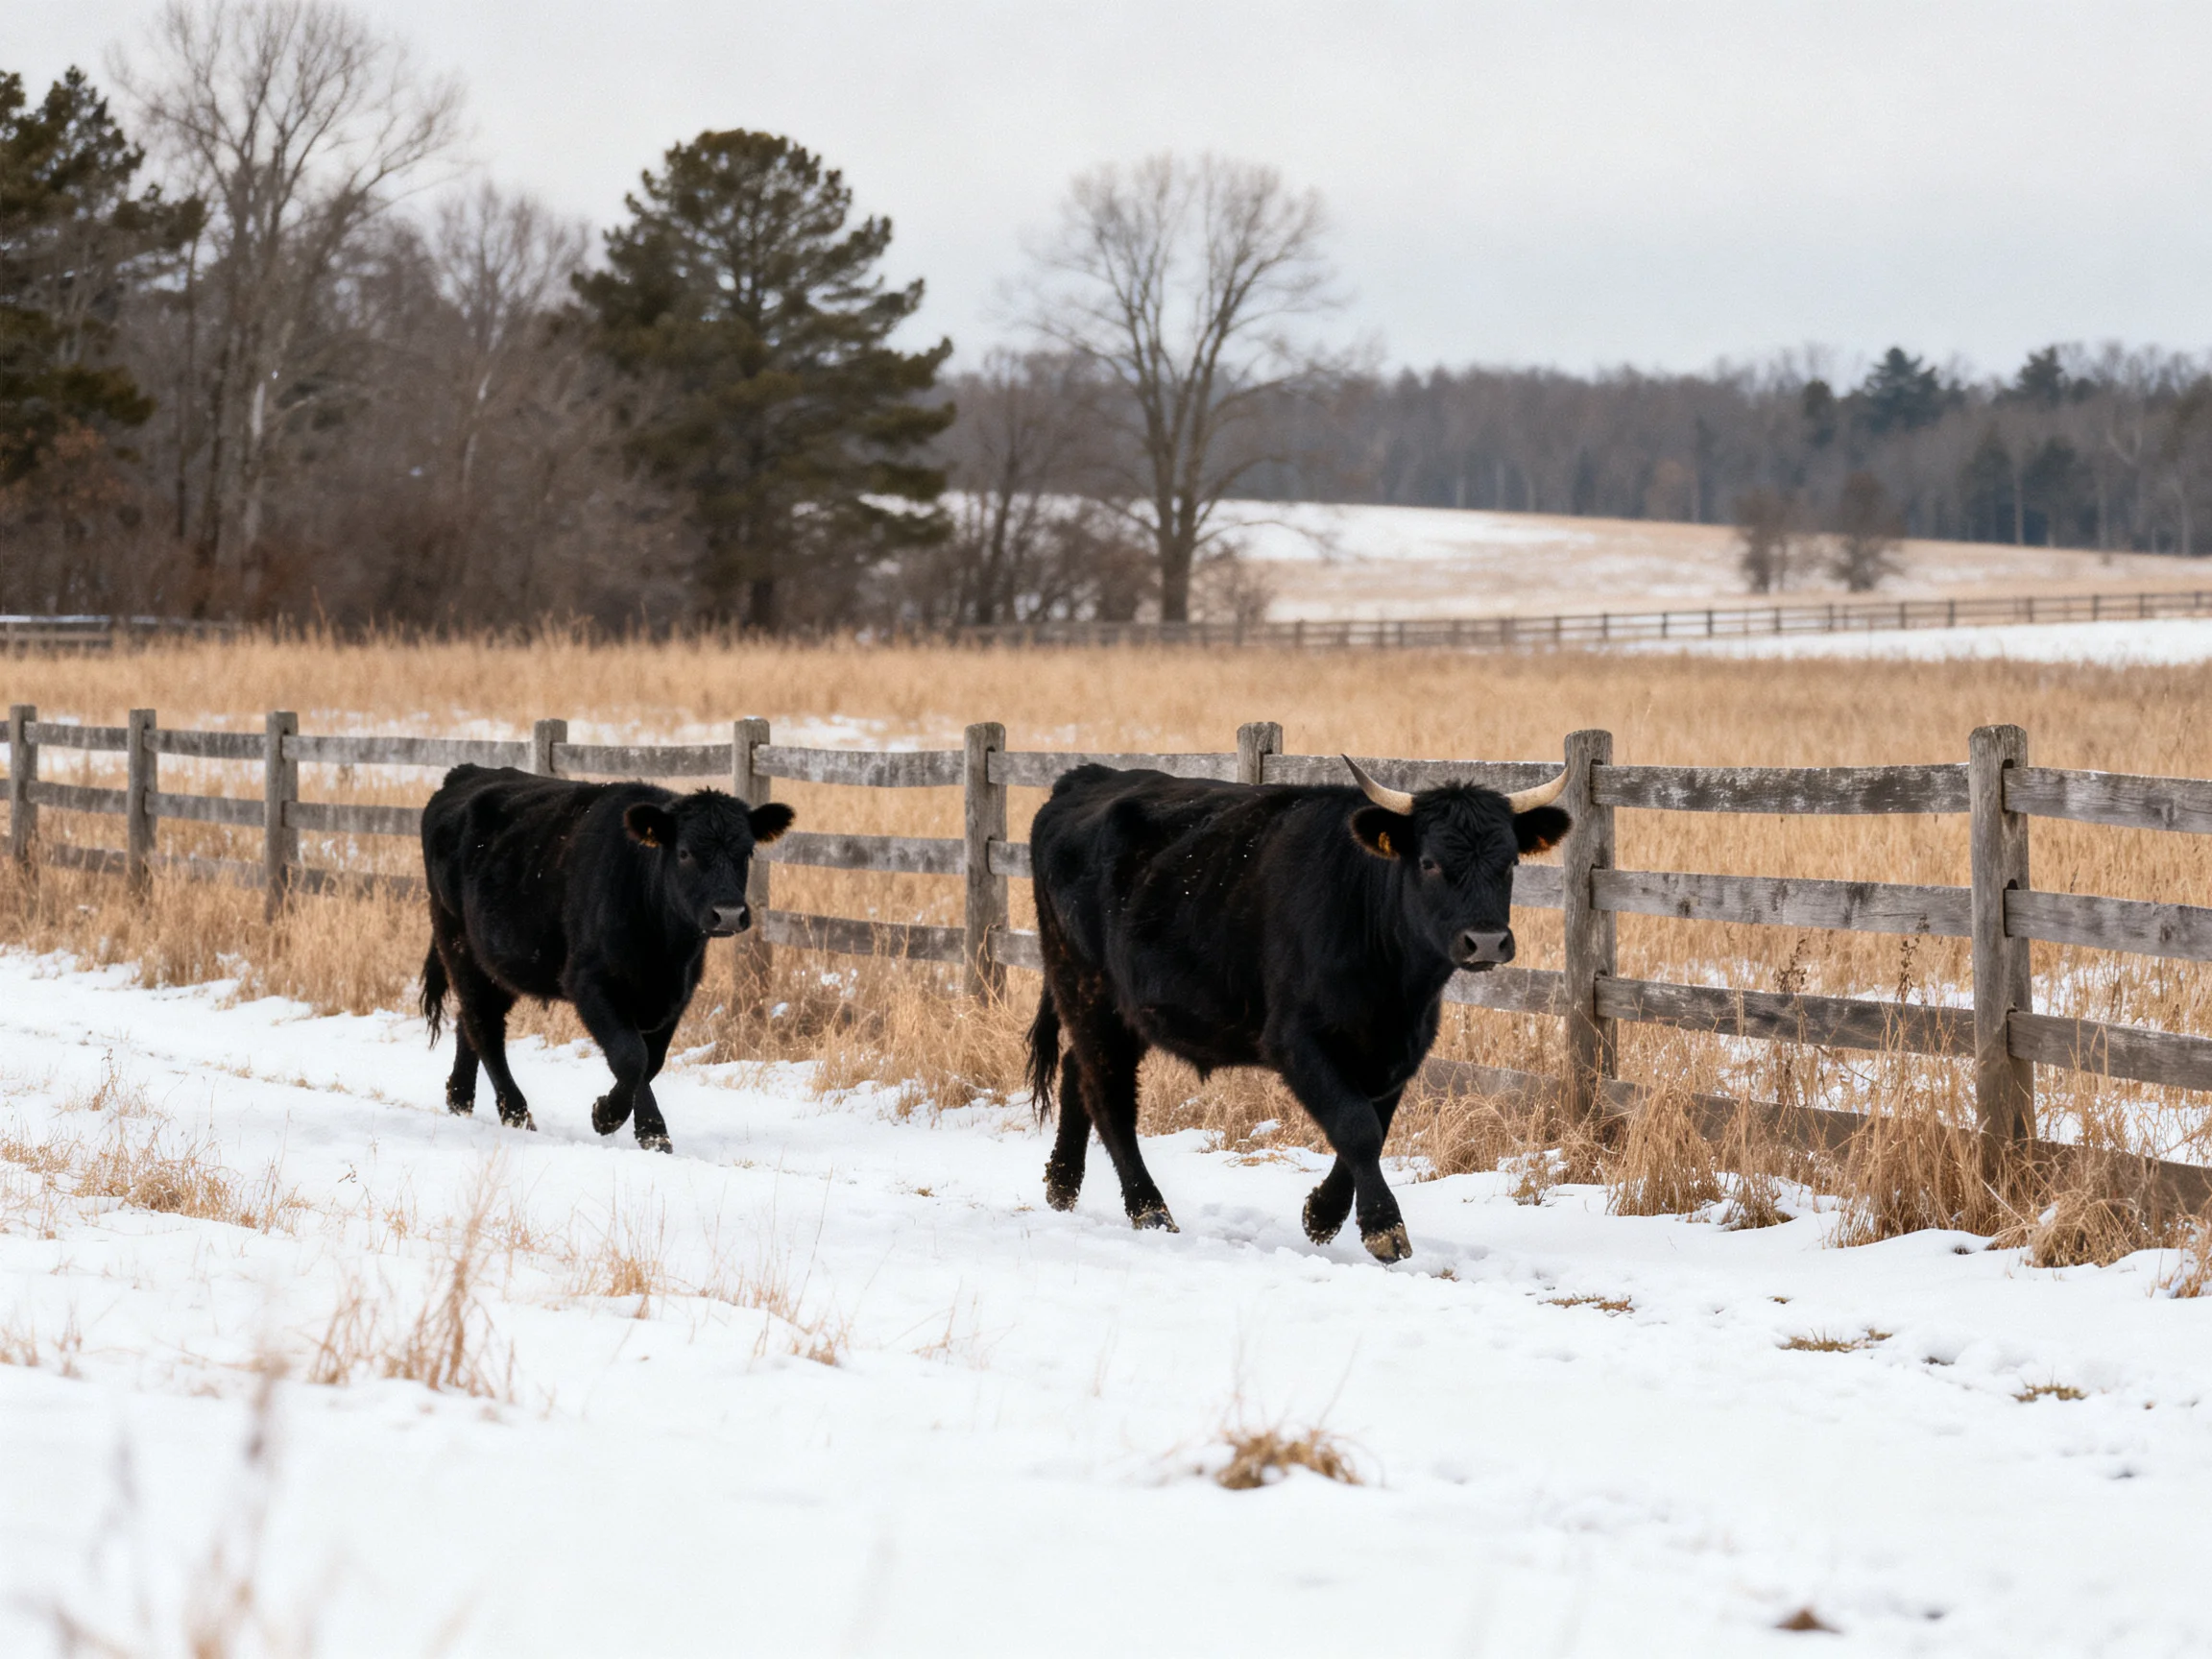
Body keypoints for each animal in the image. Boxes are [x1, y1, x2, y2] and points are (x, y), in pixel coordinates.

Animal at [419, 765, 794, 1153]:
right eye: (685, 852)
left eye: (746, 852)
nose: (729, 913)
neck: (663, 950)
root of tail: (467, 773)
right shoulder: (590, 982)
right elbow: (630, 1057)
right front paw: (612, 1117)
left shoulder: (677, 993)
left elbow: (651, 1060)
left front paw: (650, 1133)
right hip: (459, 945)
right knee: (485, 1027)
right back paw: (516, 1114)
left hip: (493, 963)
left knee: (469, 1021)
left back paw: (460, 1098)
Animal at [1025, 755, 1569, 1261]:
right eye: (1430, 862)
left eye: (1510, 863)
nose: (1486, 940)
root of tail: (1090, 775)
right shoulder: (1295, 1040)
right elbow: (1355, 1126)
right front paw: (1381, 1227)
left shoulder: (1400, 1049)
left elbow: (1374, 1128)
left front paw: (1323, 1214)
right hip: (1087, 989)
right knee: (1110, 1096)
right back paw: (1149, 1209)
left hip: (1120, 1009)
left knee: (1079, 1072)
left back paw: (1061, 1184)